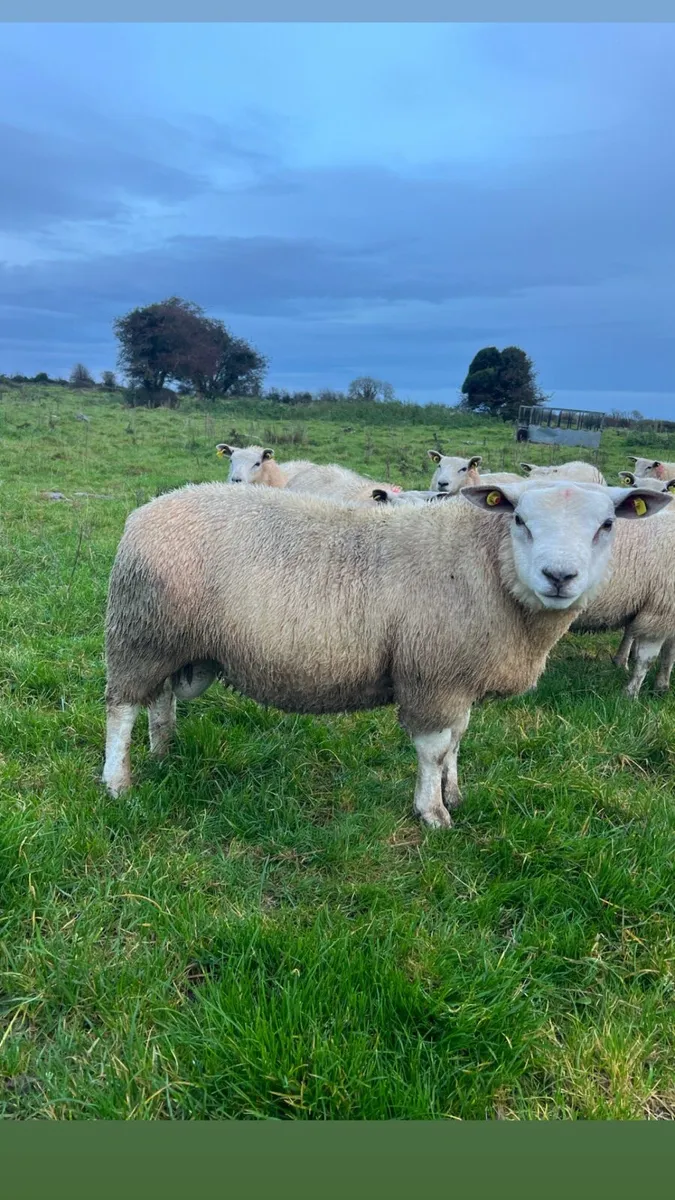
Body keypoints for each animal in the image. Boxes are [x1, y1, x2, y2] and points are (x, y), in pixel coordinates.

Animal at [102, 478, 666, 829]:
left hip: (170, 640)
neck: (488, 565)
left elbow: (457, 740)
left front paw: (453, 791)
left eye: (608, 525)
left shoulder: (458, 677)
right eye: (521, 520)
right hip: (138, 634)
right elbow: (434, 748)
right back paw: (117, 783)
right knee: (121, 708)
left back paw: (164, 747)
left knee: (160, 698)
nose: (559, 576)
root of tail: (147, 510)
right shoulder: (434, 675)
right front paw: (432, 813)